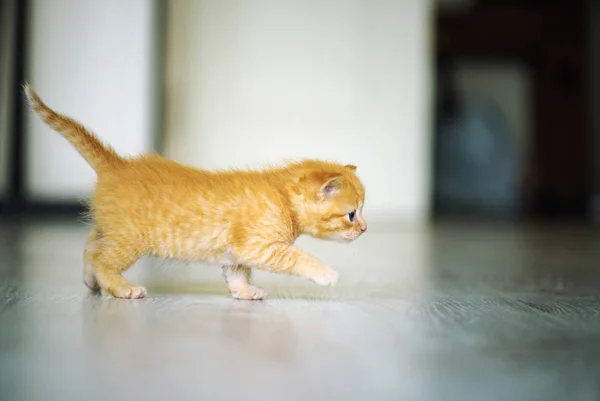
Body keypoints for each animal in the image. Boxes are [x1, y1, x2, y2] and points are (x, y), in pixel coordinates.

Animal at [23, 84, 366, 298]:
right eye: (351, 214)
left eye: (361, 212)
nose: (364, 229)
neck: (280, 197)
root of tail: (118, 165)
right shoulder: (259, 245)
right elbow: (298, 257)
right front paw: (326, 274)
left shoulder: (238, 251)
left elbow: (238, 273)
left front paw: (243, 292)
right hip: (130, 238)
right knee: (104, 260)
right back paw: (120, 288)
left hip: (113, 228)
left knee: (92, 245)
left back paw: (90, 279)